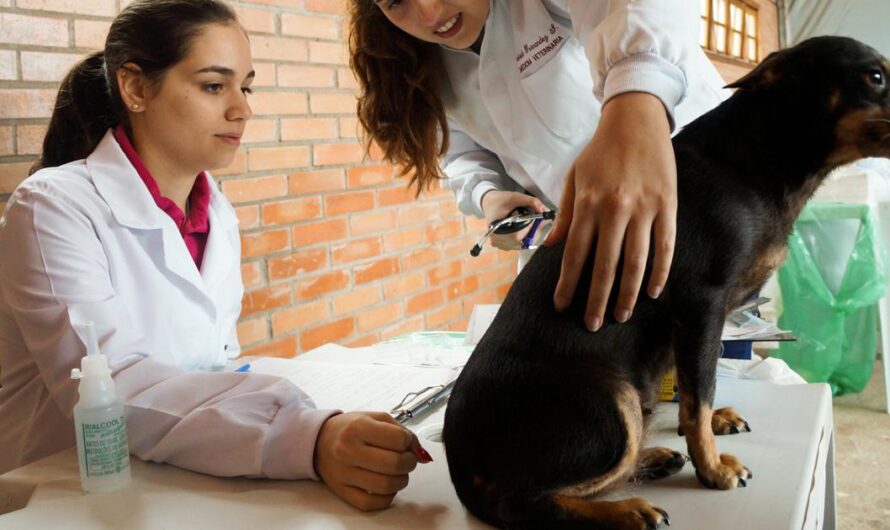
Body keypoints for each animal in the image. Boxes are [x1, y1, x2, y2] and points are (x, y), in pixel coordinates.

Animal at [442, 37, 888, 528]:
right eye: (875, 77)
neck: (753, 159)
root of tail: (460, 471)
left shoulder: (686, 323)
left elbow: (692, 391)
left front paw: (711, 429)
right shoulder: (702, 305)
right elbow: (699, 396)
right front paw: (712, 469)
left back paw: (655, 458)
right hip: (615, 402)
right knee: (527, 503)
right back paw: (628, 509)